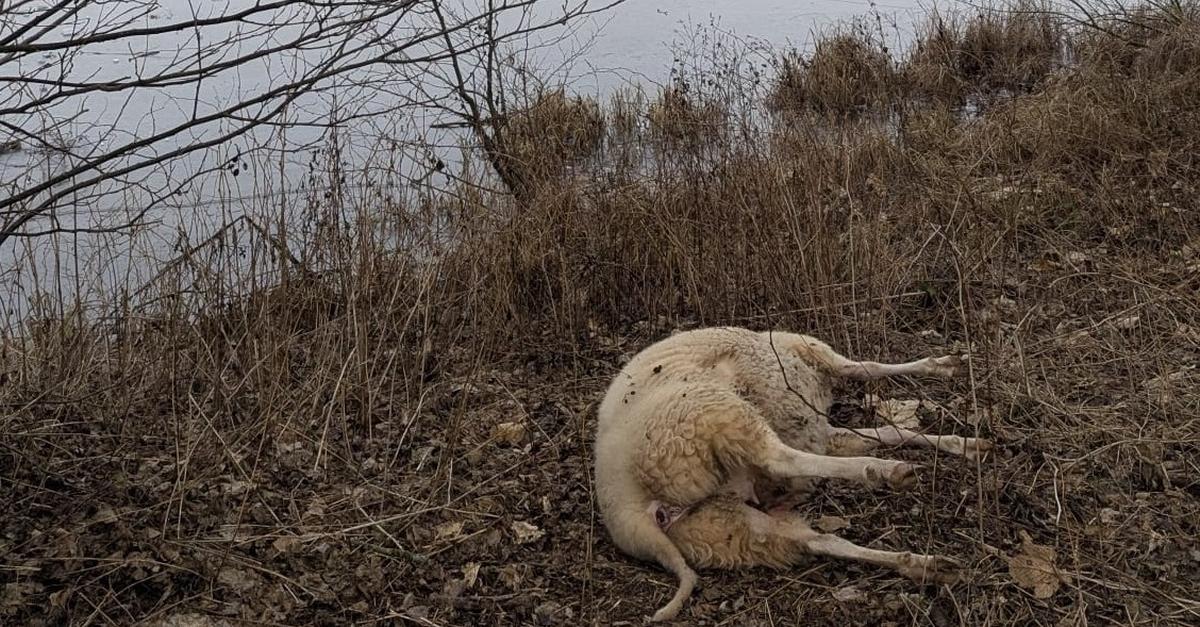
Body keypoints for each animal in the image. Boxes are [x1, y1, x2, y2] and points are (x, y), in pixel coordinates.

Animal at [593, 326, 990, 622]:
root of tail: (628, 508)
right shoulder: (815, 357)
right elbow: (867, 367)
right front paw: (942, 367)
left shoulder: (824, 433)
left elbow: (889, 431)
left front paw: (963, 444)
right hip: (707, 412)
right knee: (779, 459)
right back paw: (884, 472)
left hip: (720, 525)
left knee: (816, 540)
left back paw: (928, 565)